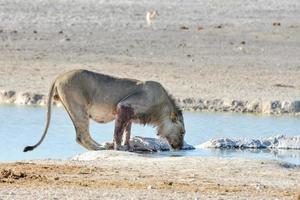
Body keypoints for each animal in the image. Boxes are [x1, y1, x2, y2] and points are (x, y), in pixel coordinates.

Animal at [24, 69, 185, 152]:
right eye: (183, 132)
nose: (181, 146)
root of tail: (59, 76)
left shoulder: (129, 114)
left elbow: (127, 132)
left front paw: (129, 147)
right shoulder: (123, 106)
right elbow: (118, 132)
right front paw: (118, 148)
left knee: (84, 134)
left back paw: (102, 145)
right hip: (79, 108)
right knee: (81, 136)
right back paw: (100, 148)